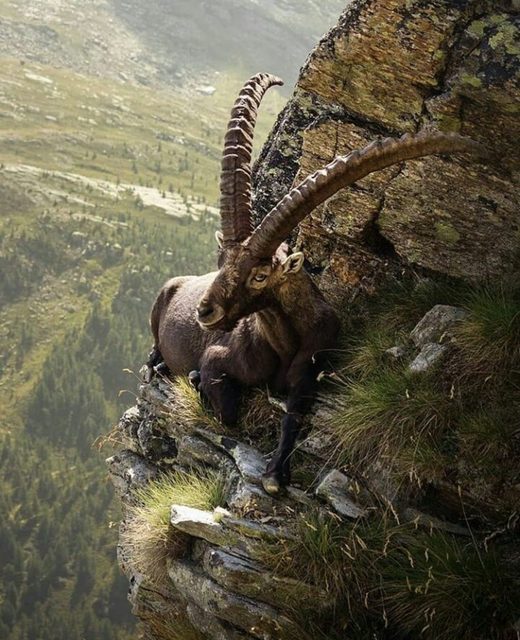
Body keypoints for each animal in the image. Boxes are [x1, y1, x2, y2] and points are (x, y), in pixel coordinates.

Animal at [147, 73, 486, 495]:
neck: (284, 341)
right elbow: (225, 411)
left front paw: (275, 474)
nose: (205, 311)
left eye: (260, 274)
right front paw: (194, 379)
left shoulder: (311, 369)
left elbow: (294, 412)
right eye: (221, 260)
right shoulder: (217, 359)